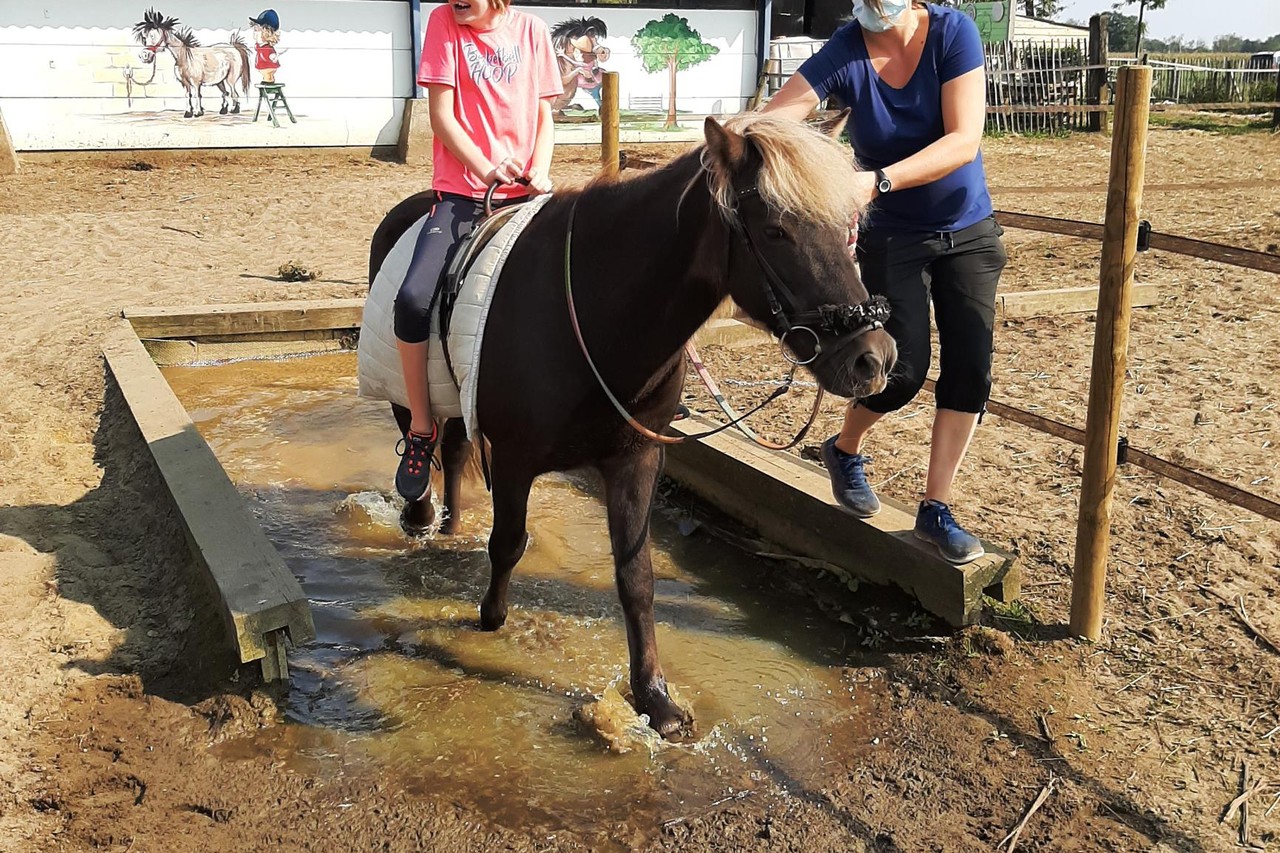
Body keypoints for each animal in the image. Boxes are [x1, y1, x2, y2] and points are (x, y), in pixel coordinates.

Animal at [366, 114, 896, 737]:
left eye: (847, 228)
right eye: (774, 232)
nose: (873, 358)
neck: (592, 313)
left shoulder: (636, 459)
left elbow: (636, 578)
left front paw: (655, 699)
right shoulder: (517, 458)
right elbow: (508, 543)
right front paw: (491, 618)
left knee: (451, 450)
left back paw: (449, 525)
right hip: (407, 379)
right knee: (420, 438)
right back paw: (421, 515)